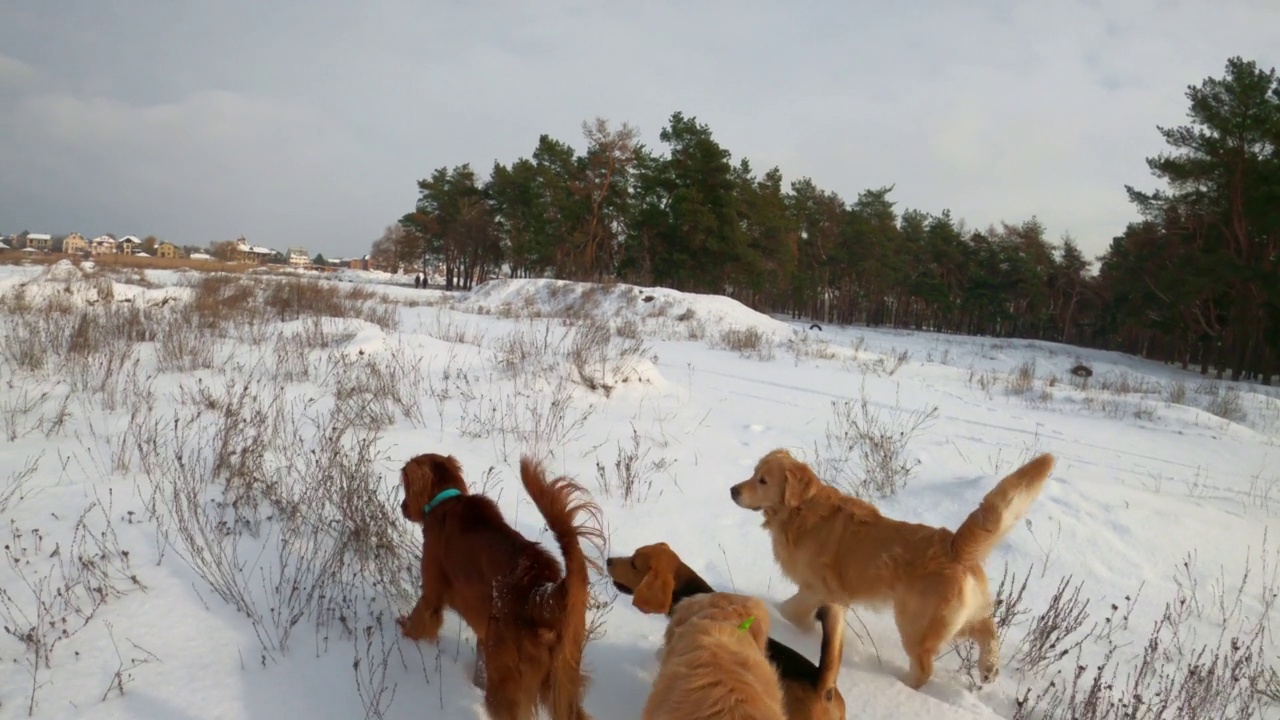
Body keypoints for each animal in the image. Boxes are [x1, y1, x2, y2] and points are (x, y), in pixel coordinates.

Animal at [396, 453, 601, 717]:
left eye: (406, 485)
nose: (403, 507)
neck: (446, 501)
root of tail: (540, 593)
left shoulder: (432, 593)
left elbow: (419, 620)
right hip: (561, 684)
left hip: (507, 682)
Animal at [732, 445, 1059, 686]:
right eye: (753, 473)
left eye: (763, 481)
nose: (733, 490)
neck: (800, 510)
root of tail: (954, 545)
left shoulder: (819, 587)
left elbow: (790, 609)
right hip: (955, 621)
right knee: (988, 629)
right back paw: (988, 668)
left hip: (914, 624)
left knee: (924, 668)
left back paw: (901, 683)